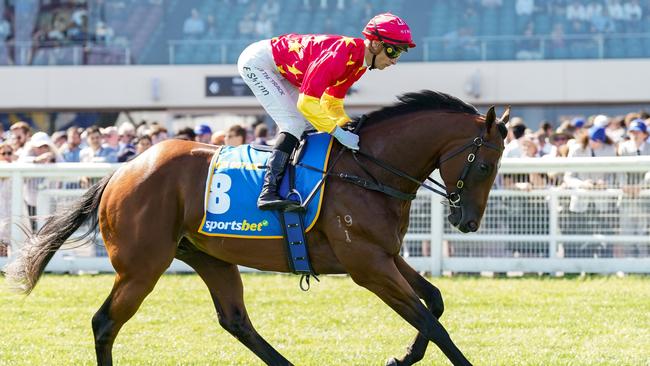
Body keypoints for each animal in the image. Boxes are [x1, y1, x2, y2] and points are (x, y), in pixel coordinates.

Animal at [6, 91, 512, 366]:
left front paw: (403, 354)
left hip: (208, 257)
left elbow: (435, 302)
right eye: (486, 165)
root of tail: (121, 171)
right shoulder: (367, 266)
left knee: (236, 321)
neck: (366, 169)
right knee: (105, 322)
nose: (467, 222)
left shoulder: (385, 256)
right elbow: (430, 321)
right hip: (142, 266)